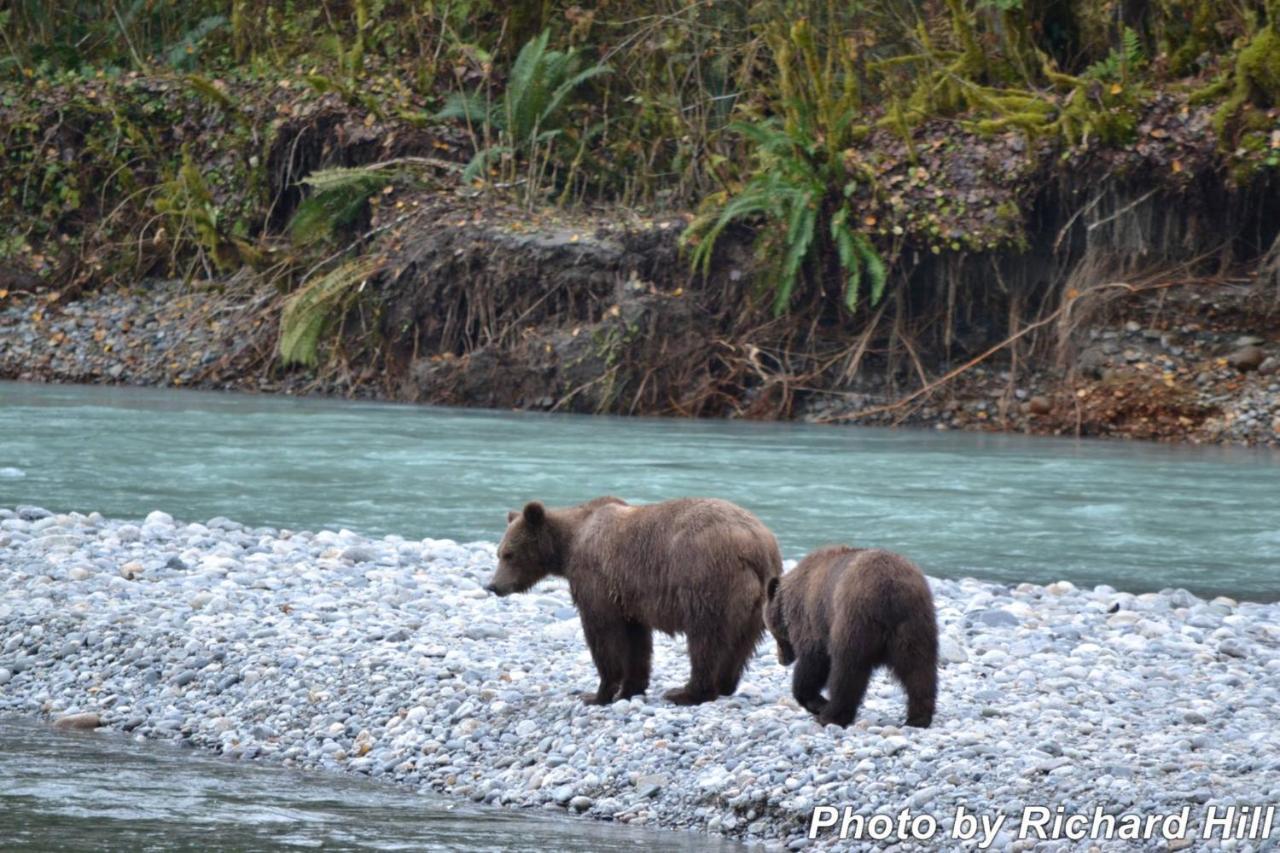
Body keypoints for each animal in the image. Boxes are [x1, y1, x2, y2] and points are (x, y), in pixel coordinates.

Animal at [483, 494, 778, 701]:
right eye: (499, 553)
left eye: (509, 554)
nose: (493, 585)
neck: (569, 545)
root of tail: (757, 544)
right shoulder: (629, 595)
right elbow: (637, 641)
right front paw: (631, 688)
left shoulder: (596, 578)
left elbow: (602, 633)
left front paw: (597, 694)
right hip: (759, 601)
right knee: (742, 643)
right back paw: (725, 685)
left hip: (707, 578)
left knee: (705, 638)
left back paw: (686, 692)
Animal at [762, 545, 936, 722]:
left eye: (773, 633)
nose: (782, 660)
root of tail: (890, 588)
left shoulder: (812, 620)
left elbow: (813, 660)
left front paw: (815, 702)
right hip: (913, 622)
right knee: (918, 668)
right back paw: (919, 717)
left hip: (853, 619)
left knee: (847, 670)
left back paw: (831, 715)